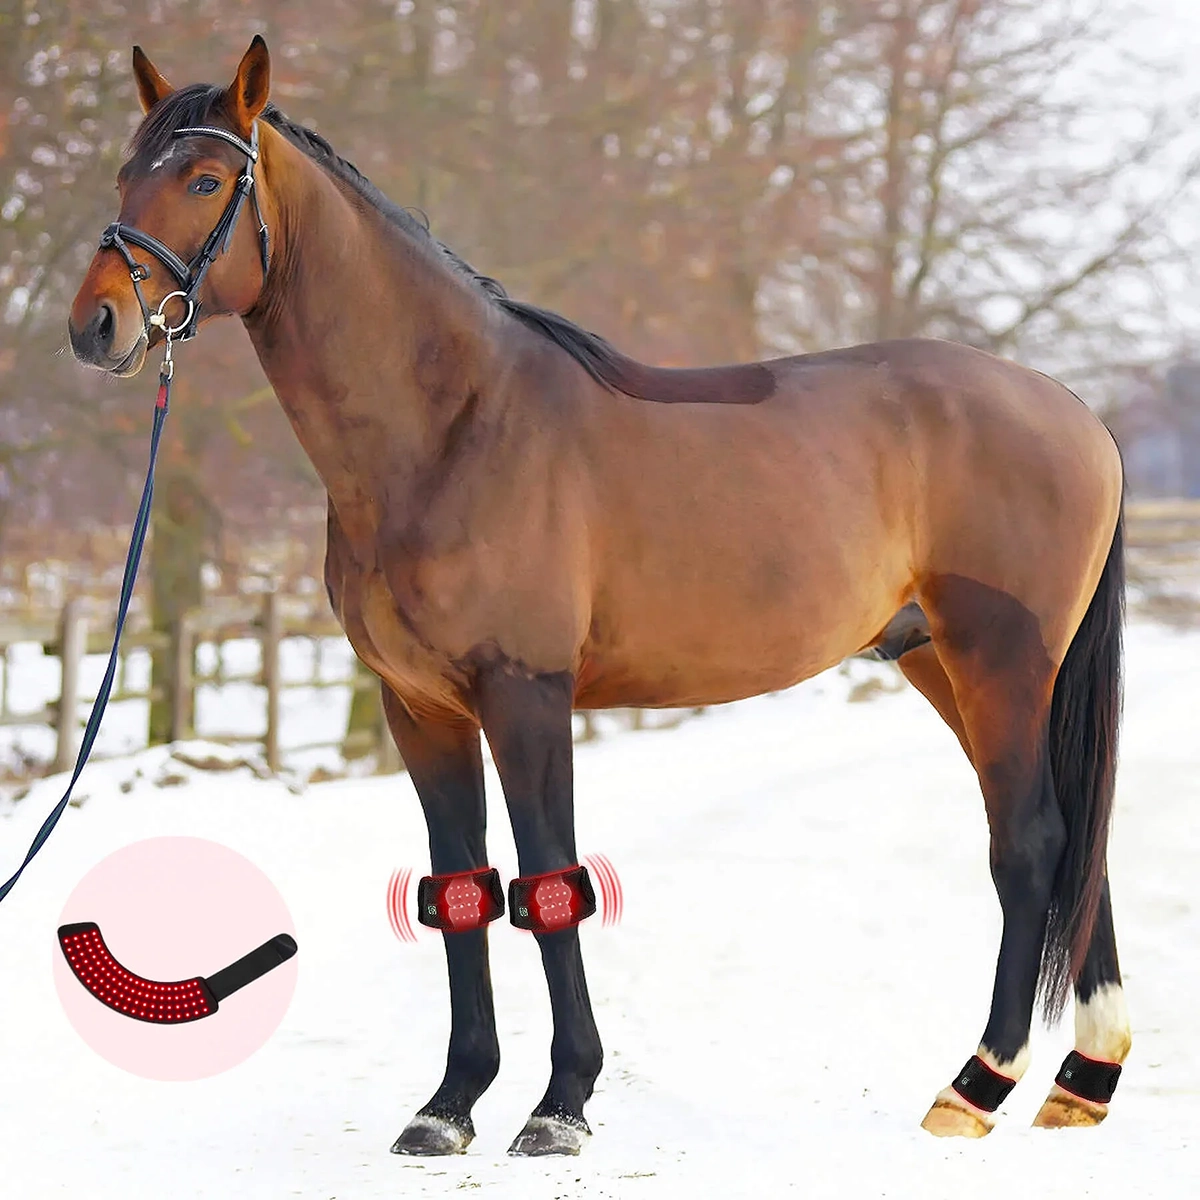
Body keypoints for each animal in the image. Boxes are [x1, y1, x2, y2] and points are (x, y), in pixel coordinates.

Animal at [68, 38, 1130, 1156]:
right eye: (126, 173)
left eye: (204, 179)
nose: (95, 324)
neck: (452, 428)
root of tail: (1075, 414)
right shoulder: (420, 710)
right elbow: (460, 891)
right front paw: (448, 1105)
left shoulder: (526, 694)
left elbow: (546, 883)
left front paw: (560, 1101)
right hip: (950, 666)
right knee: (1074, 839)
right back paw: (1081, 1081)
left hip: (998, 662)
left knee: (1033, 842)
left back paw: (977, 1085)